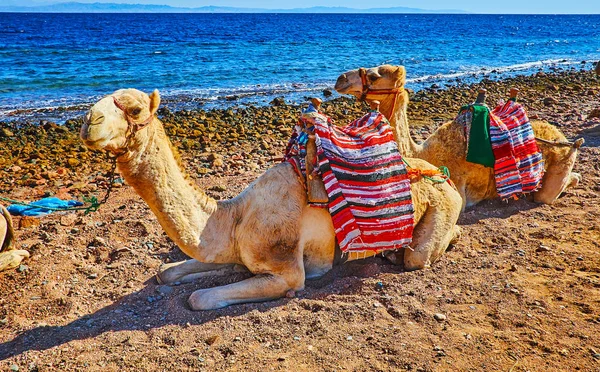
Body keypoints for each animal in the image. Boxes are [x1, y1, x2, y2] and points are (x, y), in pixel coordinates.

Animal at [81, 88, 464, 310]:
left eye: (133, 110)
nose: (88, 121)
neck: (234, 216)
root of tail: (440, 173)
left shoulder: (288, 273)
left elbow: (198, 297)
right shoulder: (239, 254)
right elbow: (166, 272)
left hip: (440, 209)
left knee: (419, 255)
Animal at [336, 66, 584, 211]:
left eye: (374, 76)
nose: (340, 79)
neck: (422, 154)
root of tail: (562, 136)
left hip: (562, 161)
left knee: (551, 190)